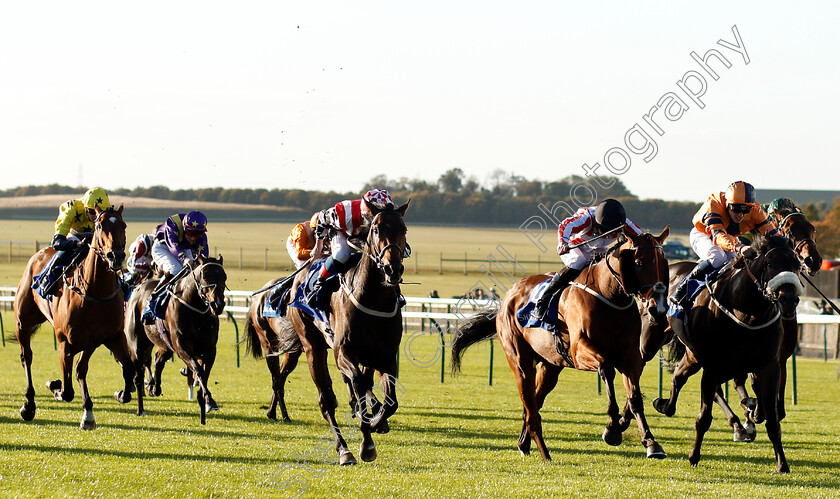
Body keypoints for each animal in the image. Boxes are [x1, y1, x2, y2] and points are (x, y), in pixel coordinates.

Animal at [12, 205, 135, 432]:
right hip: (22, 322)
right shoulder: (65, 342)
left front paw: (118, 395)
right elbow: (68, 389)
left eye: (123, 225)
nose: (116, 256)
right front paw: (55, 387)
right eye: (99, 225)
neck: (95, 291)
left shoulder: (107, 337)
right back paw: (29, 404)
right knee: (27, 357)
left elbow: (125, 369)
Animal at [121, 256, 226, 424]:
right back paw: (139, 407)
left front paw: (207, 402)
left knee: (158, 360)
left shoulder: (210, 349)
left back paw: (154, 388)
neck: (195, 309)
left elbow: (204, 372)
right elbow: (198, 369)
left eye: (224, 276)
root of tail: (138, 288)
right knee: (138, 374)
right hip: (137, 343)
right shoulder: (181, 345)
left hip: (163, 344)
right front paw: (207, 398)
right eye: (205, 276)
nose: (218, 304)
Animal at [286, 201, 410, 466]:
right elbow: (358, 384)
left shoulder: (386, 356)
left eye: (403, 229)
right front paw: (367, 440)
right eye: (376, 228)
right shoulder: (343, 353)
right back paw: (344, 450)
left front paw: (376, 421)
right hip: (313, 347)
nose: (392, 269)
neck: (373, 299)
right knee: (326, 401)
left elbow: (390, 401)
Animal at [450, 229, 672, 462]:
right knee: (531, 407)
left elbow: (635, 397)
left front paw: (651, 443)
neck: (610, 296)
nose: (658, 308)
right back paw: (544, 452)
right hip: (520, 363)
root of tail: (508, 298)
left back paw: (524, 443)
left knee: (534, 403)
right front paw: (612, 429)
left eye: (664, 262)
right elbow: (607, 369)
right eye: (638, 263)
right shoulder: (580, 351)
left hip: (550, 366)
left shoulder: (631, 357)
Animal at [648, 236, 800, 474]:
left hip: (696, 356)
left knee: (680, 377)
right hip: (673, 345)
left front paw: (782, 464)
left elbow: (773, 421)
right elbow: (704, 418)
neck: (748, 314)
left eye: (797, 264)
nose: (789, 300)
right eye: (770, 264)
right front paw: (694, 456)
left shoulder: (769, 366)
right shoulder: (714, 366)